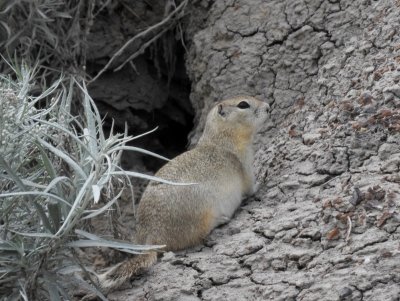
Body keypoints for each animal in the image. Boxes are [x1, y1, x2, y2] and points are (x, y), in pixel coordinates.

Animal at [98, 95, 270, 290]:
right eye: (243, 104)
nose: (268, 107)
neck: (220, 140)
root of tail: (151, 237)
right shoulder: (245, 165)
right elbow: (251, 187)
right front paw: (263, 178)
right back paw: (221, 220)